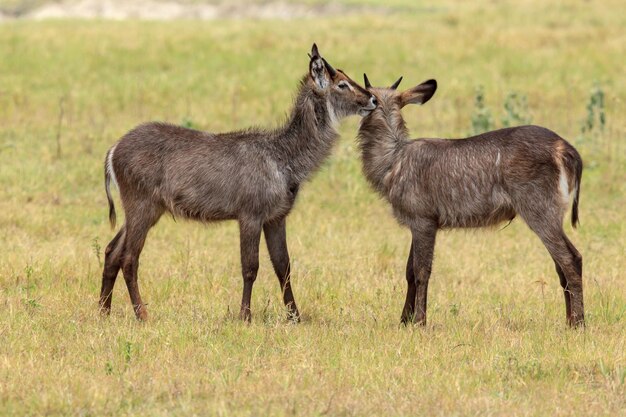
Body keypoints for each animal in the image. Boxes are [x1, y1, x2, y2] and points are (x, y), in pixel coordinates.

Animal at [97, 44, 376, 320]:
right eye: (342, 84)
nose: (372, 99)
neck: (284, 158)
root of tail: (113, 149)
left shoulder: (276, 217)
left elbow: (283, 266)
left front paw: (295, 317)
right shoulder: (250, 214)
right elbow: (250, 266)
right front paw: (245, 316)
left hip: (149, 209)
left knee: (111, 251)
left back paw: (103, 311)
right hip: (141, 205)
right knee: (129, 257)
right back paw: (142, 314)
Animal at [358, 76, 584, 326]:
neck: (393, 159)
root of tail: (567, 149)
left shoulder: (423, 220)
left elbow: (421, 271)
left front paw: (419, 321)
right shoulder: (416, 224)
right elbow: (409, 271)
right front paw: (403, 320)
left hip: (539, 211)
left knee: (570, 259)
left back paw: (578, 323)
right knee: (562, 264)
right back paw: (568, 321)